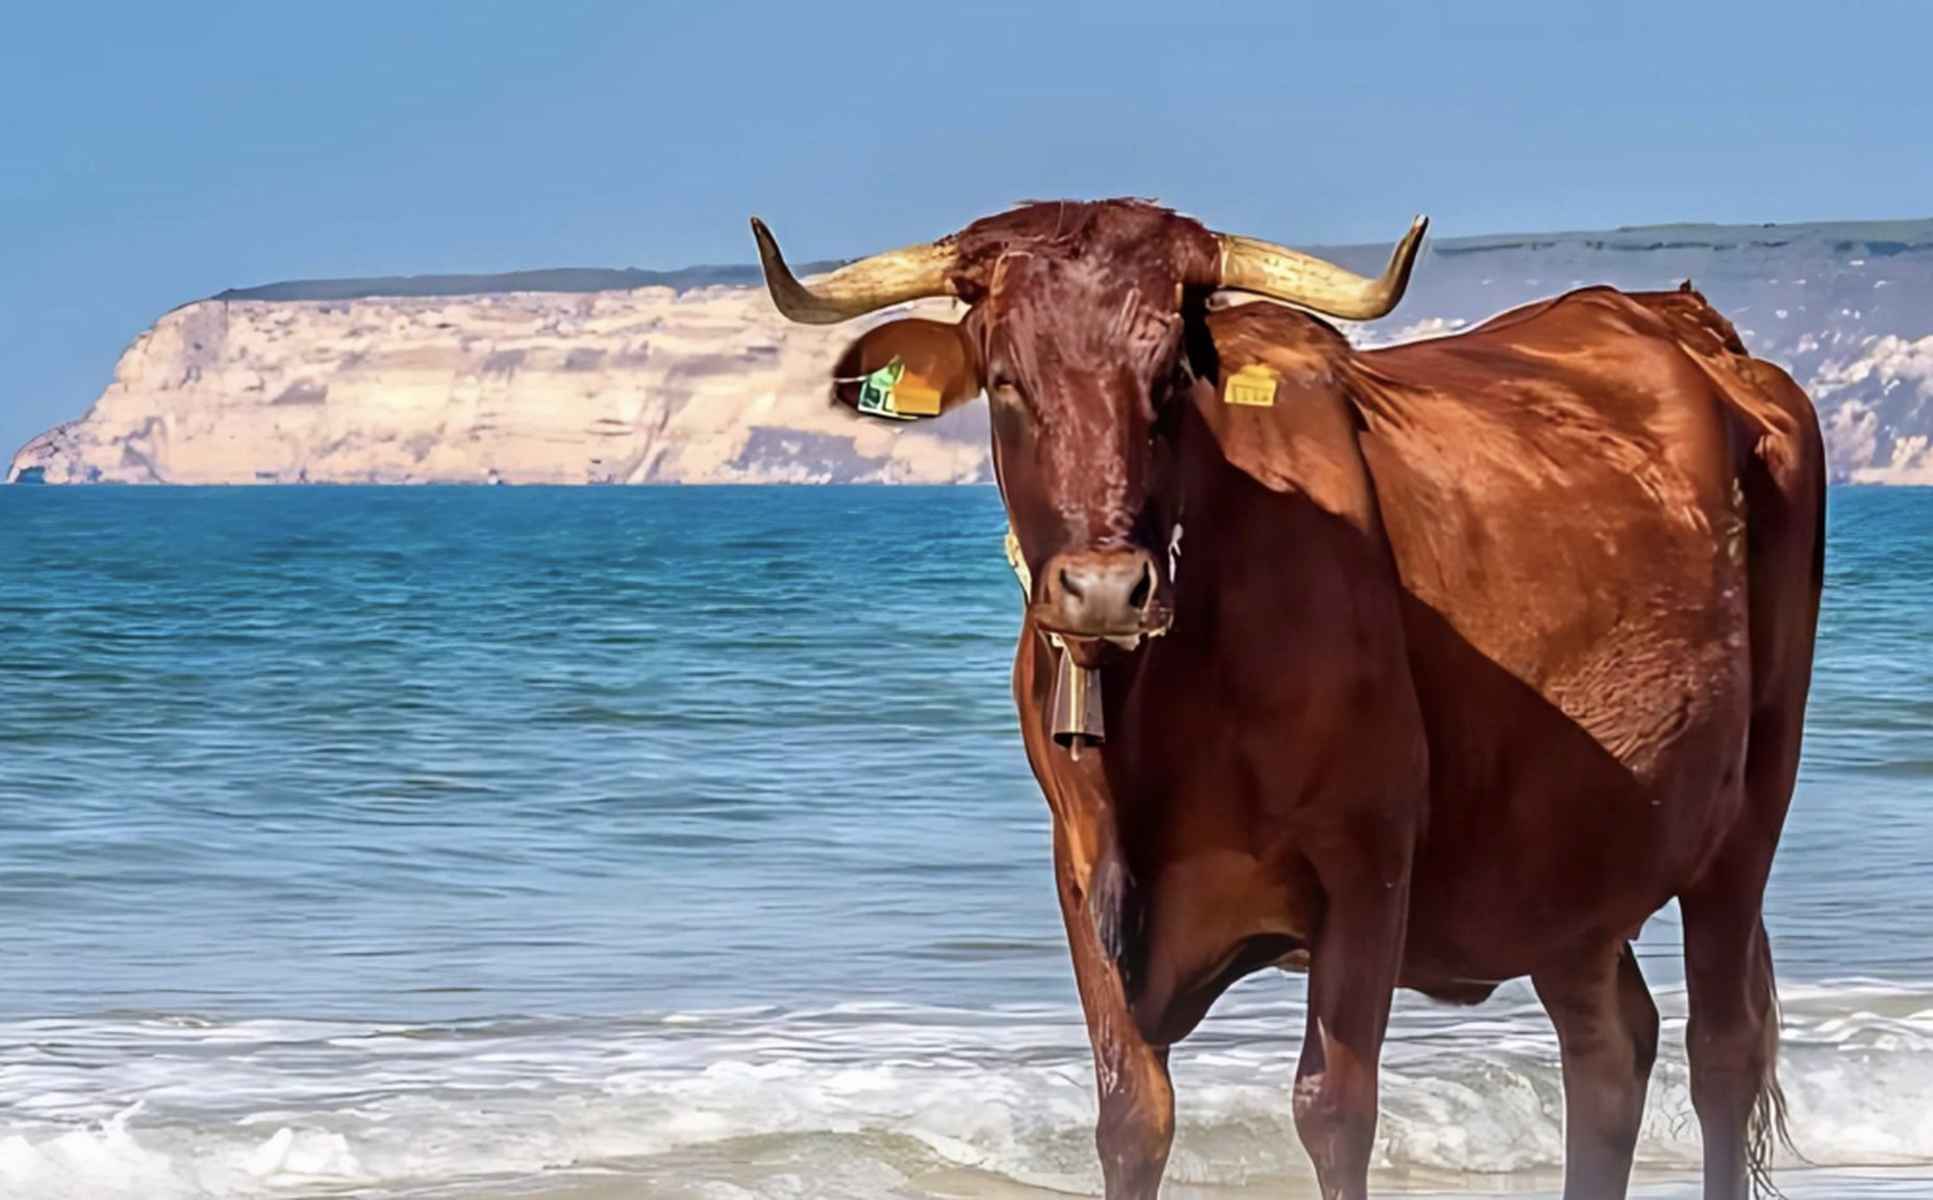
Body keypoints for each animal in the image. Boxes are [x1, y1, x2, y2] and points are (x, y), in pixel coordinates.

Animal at [749, 199, 1824, 1200]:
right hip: (1566, 857)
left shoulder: (1368, 859)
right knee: (1607, 1049)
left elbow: (1333, 1109)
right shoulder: (1083, 876)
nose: (1104, 589)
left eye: (1169, 379)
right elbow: (1130, 1116)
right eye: (1007, 378)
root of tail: (1676, 319)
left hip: (1750, 807)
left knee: (1720, 1047)